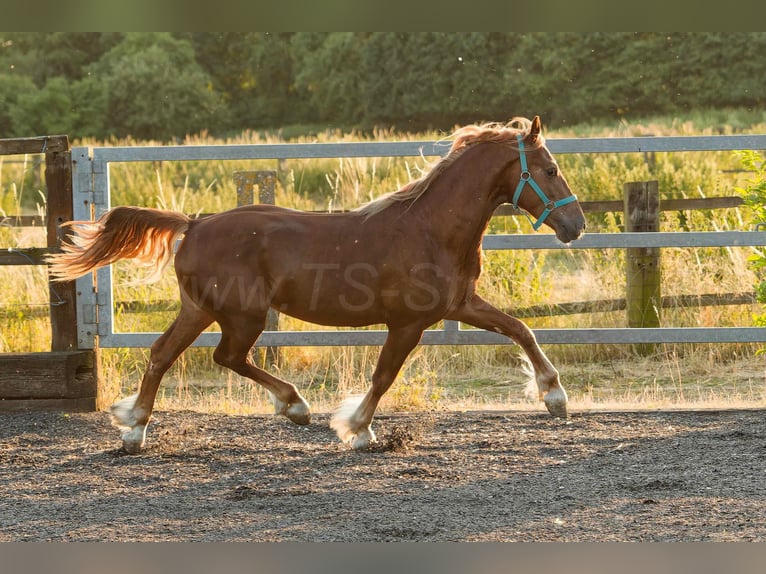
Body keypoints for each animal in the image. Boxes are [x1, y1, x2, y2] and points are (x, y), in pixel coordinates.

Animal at [47, 116, 585, 453]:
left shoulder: (460, 304)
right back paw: (295, 406)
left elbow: (520, 329)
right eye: (551, 169)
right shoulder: (407, 322)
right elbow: (383, 376)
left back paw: (135, 432)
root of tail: (194, 224)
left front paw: (556, 398)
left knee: (163, 354)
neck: (430, 227)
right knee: (225, 357)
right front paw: (357, 430)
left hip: (200, 310)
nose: (576, 225)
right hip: (242, 315)